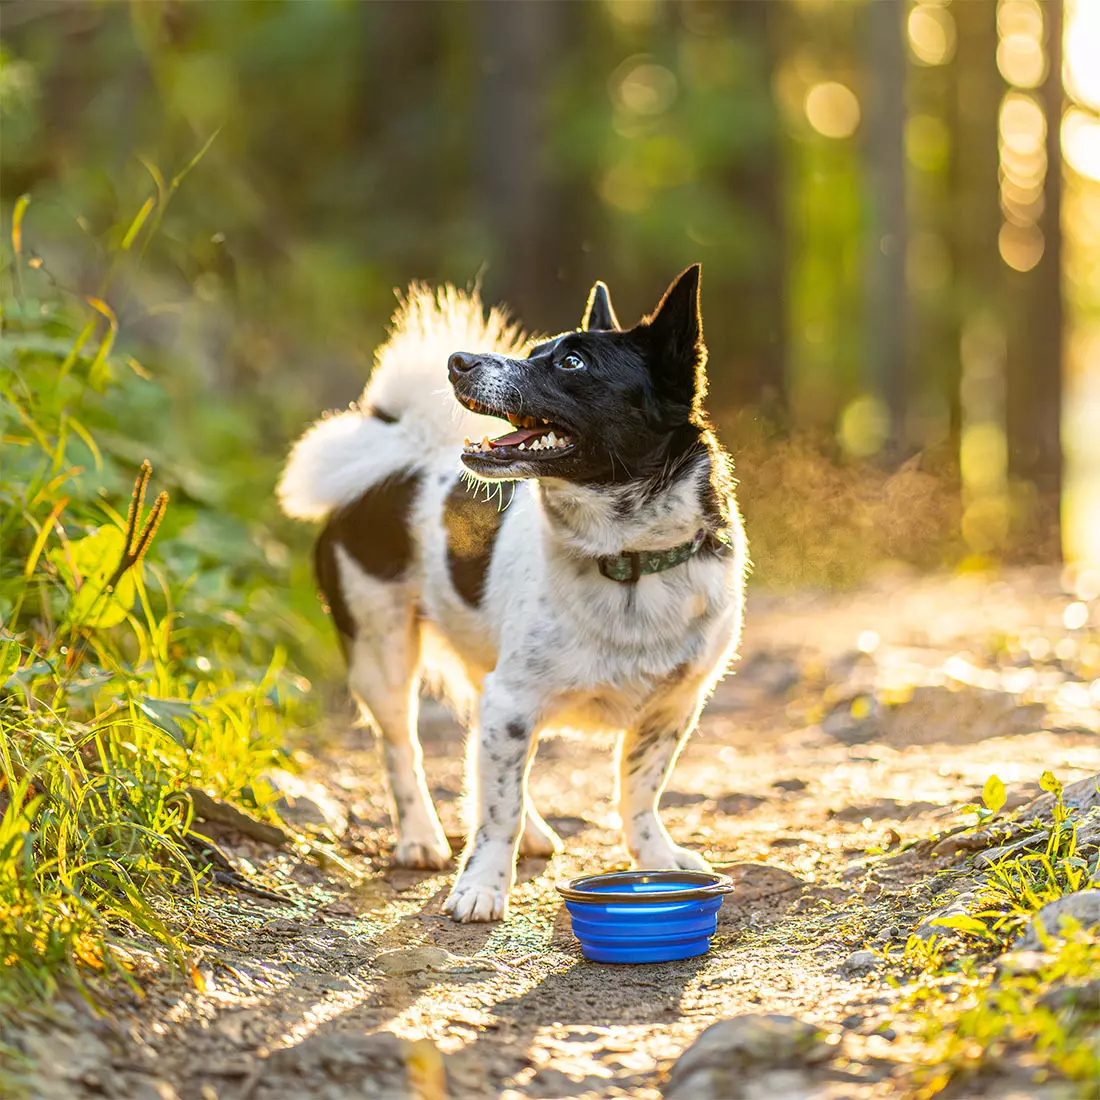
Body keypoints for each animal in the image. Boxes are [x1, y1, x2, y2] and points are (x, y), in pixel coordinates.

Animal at [279, 266, 752, 919]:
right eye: (533, 352)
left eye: (573, 362)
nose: (458, 361)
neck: (625, 560)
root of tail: (395, 457)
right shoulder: (512, 701)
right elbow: (496, 810)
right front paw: (481, 885)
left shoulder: (670, 711)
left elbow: (639, 791)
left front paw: (655, 855)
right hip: (384, 653)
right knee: (403, 749)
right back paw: (420, 837)